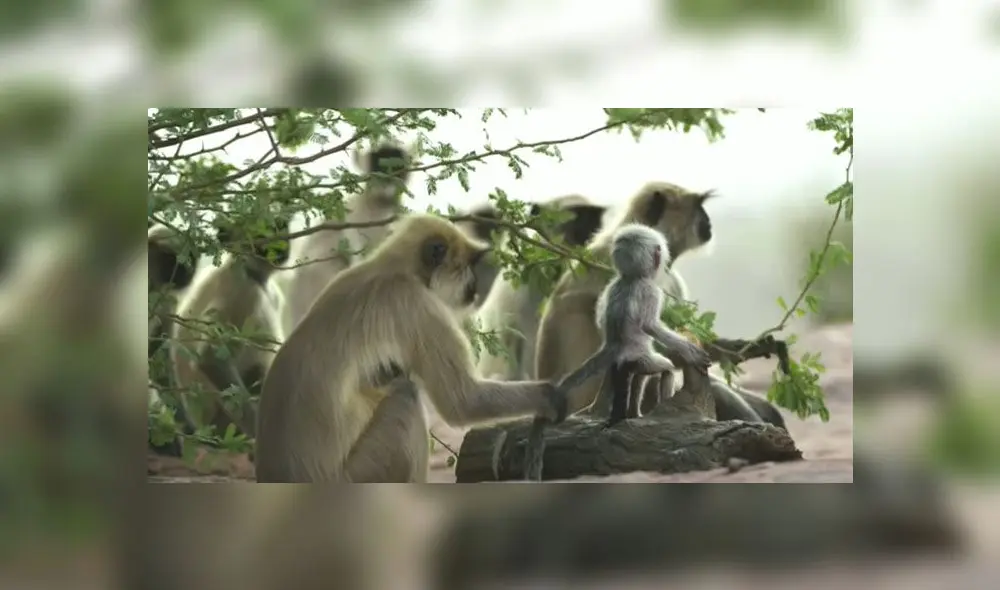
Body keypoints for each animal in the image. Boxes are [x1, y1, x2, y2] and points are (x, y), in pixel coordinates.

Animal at [169, 218, 289, 440]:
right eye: (258, 235)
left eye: (277, 226)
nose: (277, 246)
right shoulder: (242, 289)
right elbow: (210, 357)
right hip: (224, 423)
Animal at [254, 213, 568, 483]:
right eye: (469, 266)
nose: (477, 285)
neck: (393, 270)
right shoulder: (415, 303)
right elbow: (463, 401)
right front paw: (549, 396)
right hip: (362, 473)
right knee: (406, 396)